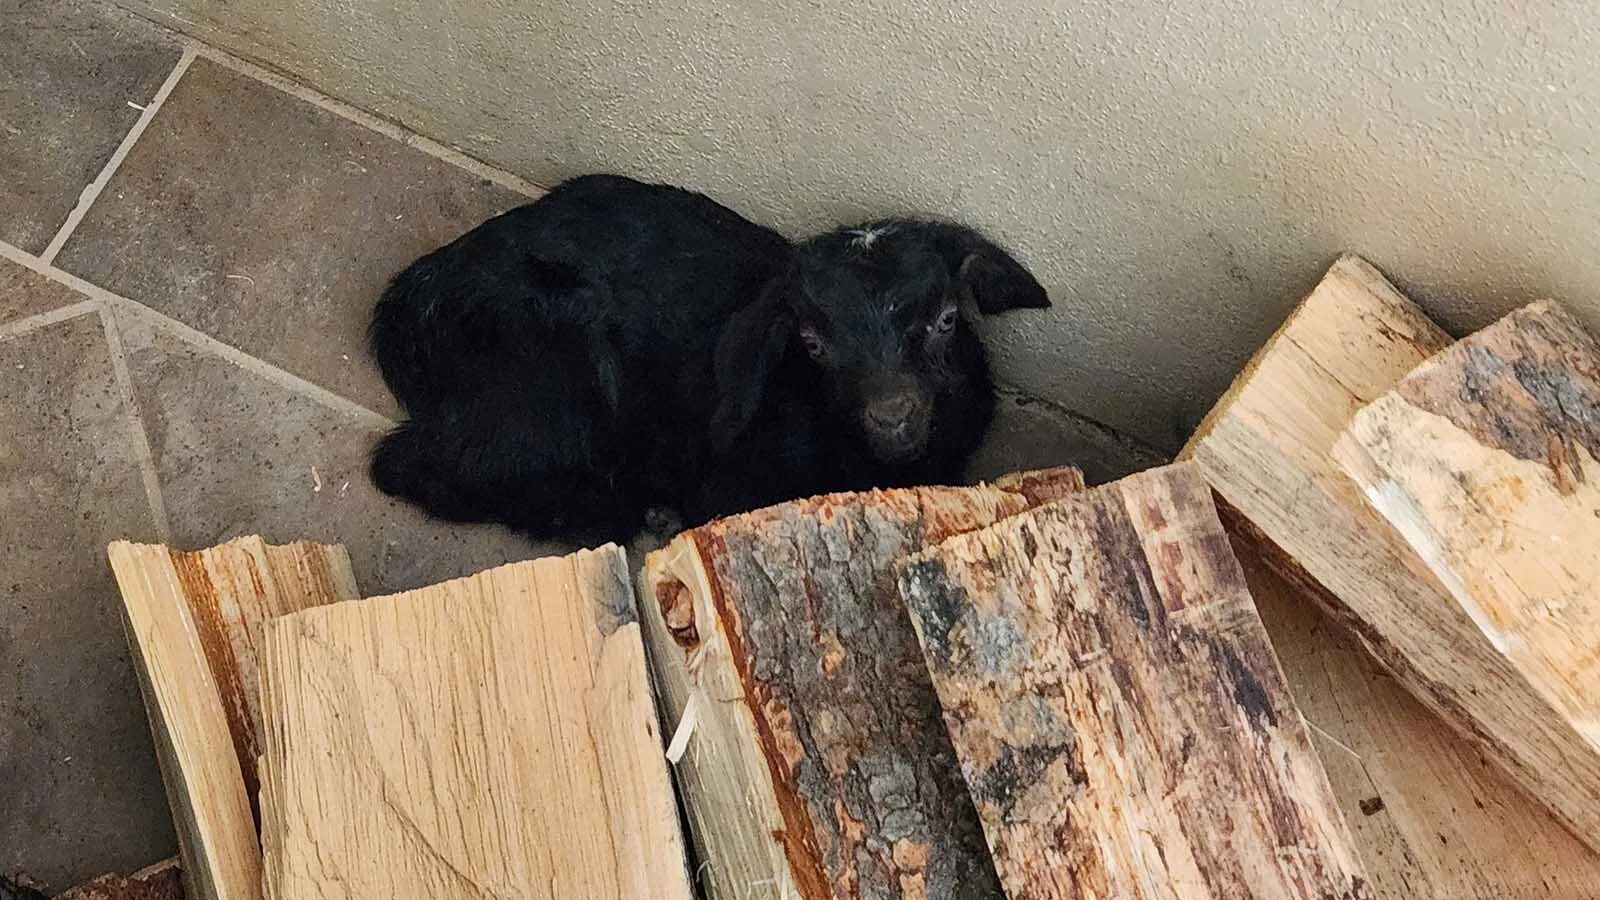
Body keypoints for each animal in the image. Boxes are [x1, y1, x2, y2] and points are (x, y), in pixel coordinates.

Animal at [368, 174, 1050, 542]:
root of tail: (416, 293)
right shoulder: (731, 489)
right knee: (412, 466)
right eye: (811, 342)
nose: (893, 414)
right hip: (548, 382)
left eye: (946, 319)